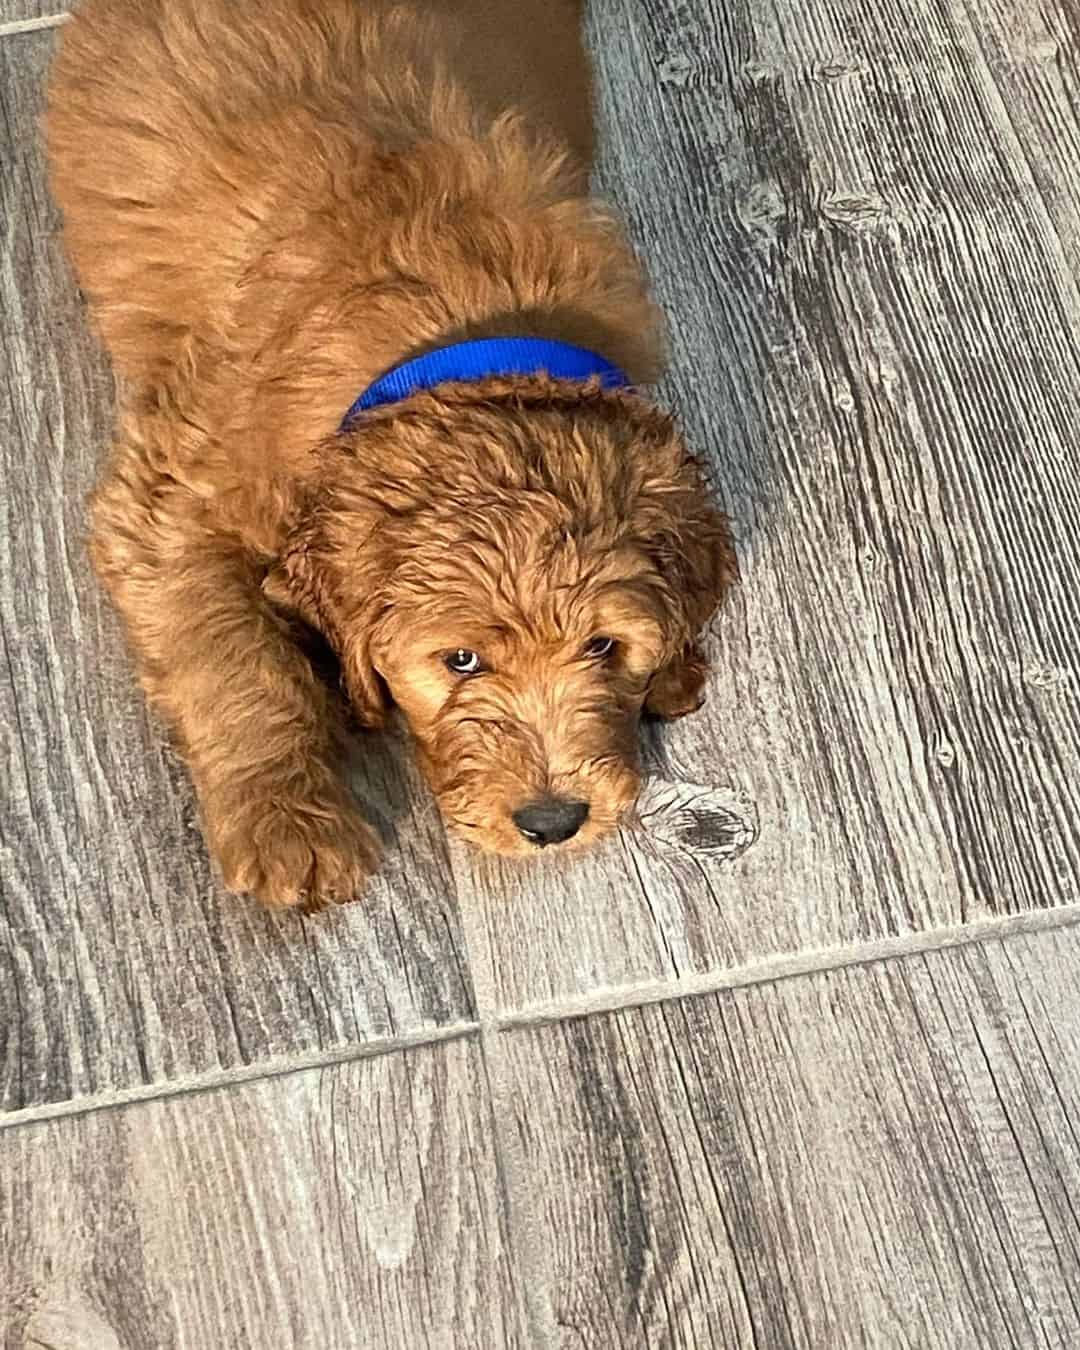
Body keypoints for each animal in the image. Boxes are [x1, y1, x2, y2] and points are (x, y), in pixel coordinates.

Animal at [46, 0, 739, 912]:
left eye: (603, 648)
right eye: (460, 660)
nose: (552, 822)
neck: (463, 329)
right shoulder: (168, 492)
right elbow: (229, 656)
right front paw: (289, 821)